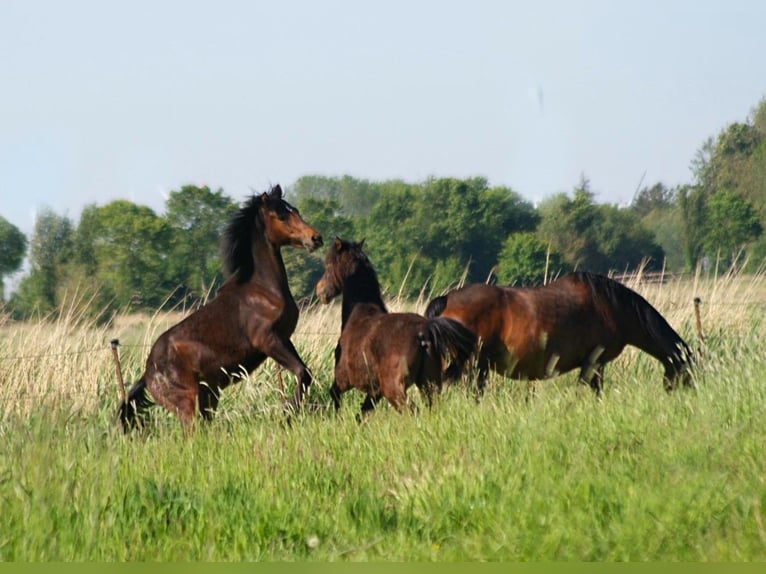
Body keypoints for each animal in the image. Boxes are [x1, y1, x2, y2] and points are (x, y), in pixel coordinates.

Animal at [117, 187, 324, 434]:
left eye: (296, 211)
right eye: (282, 216)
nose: (316, 238)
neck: (262, 290)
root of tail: (147, 375)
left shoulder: (284, 339)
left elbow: (305, 372)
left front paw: (289, 414)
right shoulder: (269, 341)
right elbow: (303, 374)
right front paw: (287, 415)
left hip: (208, 394)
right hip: (188, 403)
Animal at [316, 238, 476, 418]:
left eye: (329, 264)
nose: (320, 290)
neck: (358, 315)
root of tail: (423, 332)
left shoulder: (343, 380)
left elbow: (334, 395)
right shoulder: (375, 391)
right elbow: (362, 413)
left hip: (394, 389)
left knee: (412, 411)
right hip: (429, 384)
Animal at [426, 272, 696, 398]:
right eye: (689, 374)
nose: (688, 396)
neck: (613, 307)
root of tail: (447, 299)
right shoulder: (594, 363)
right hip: (472, 366)